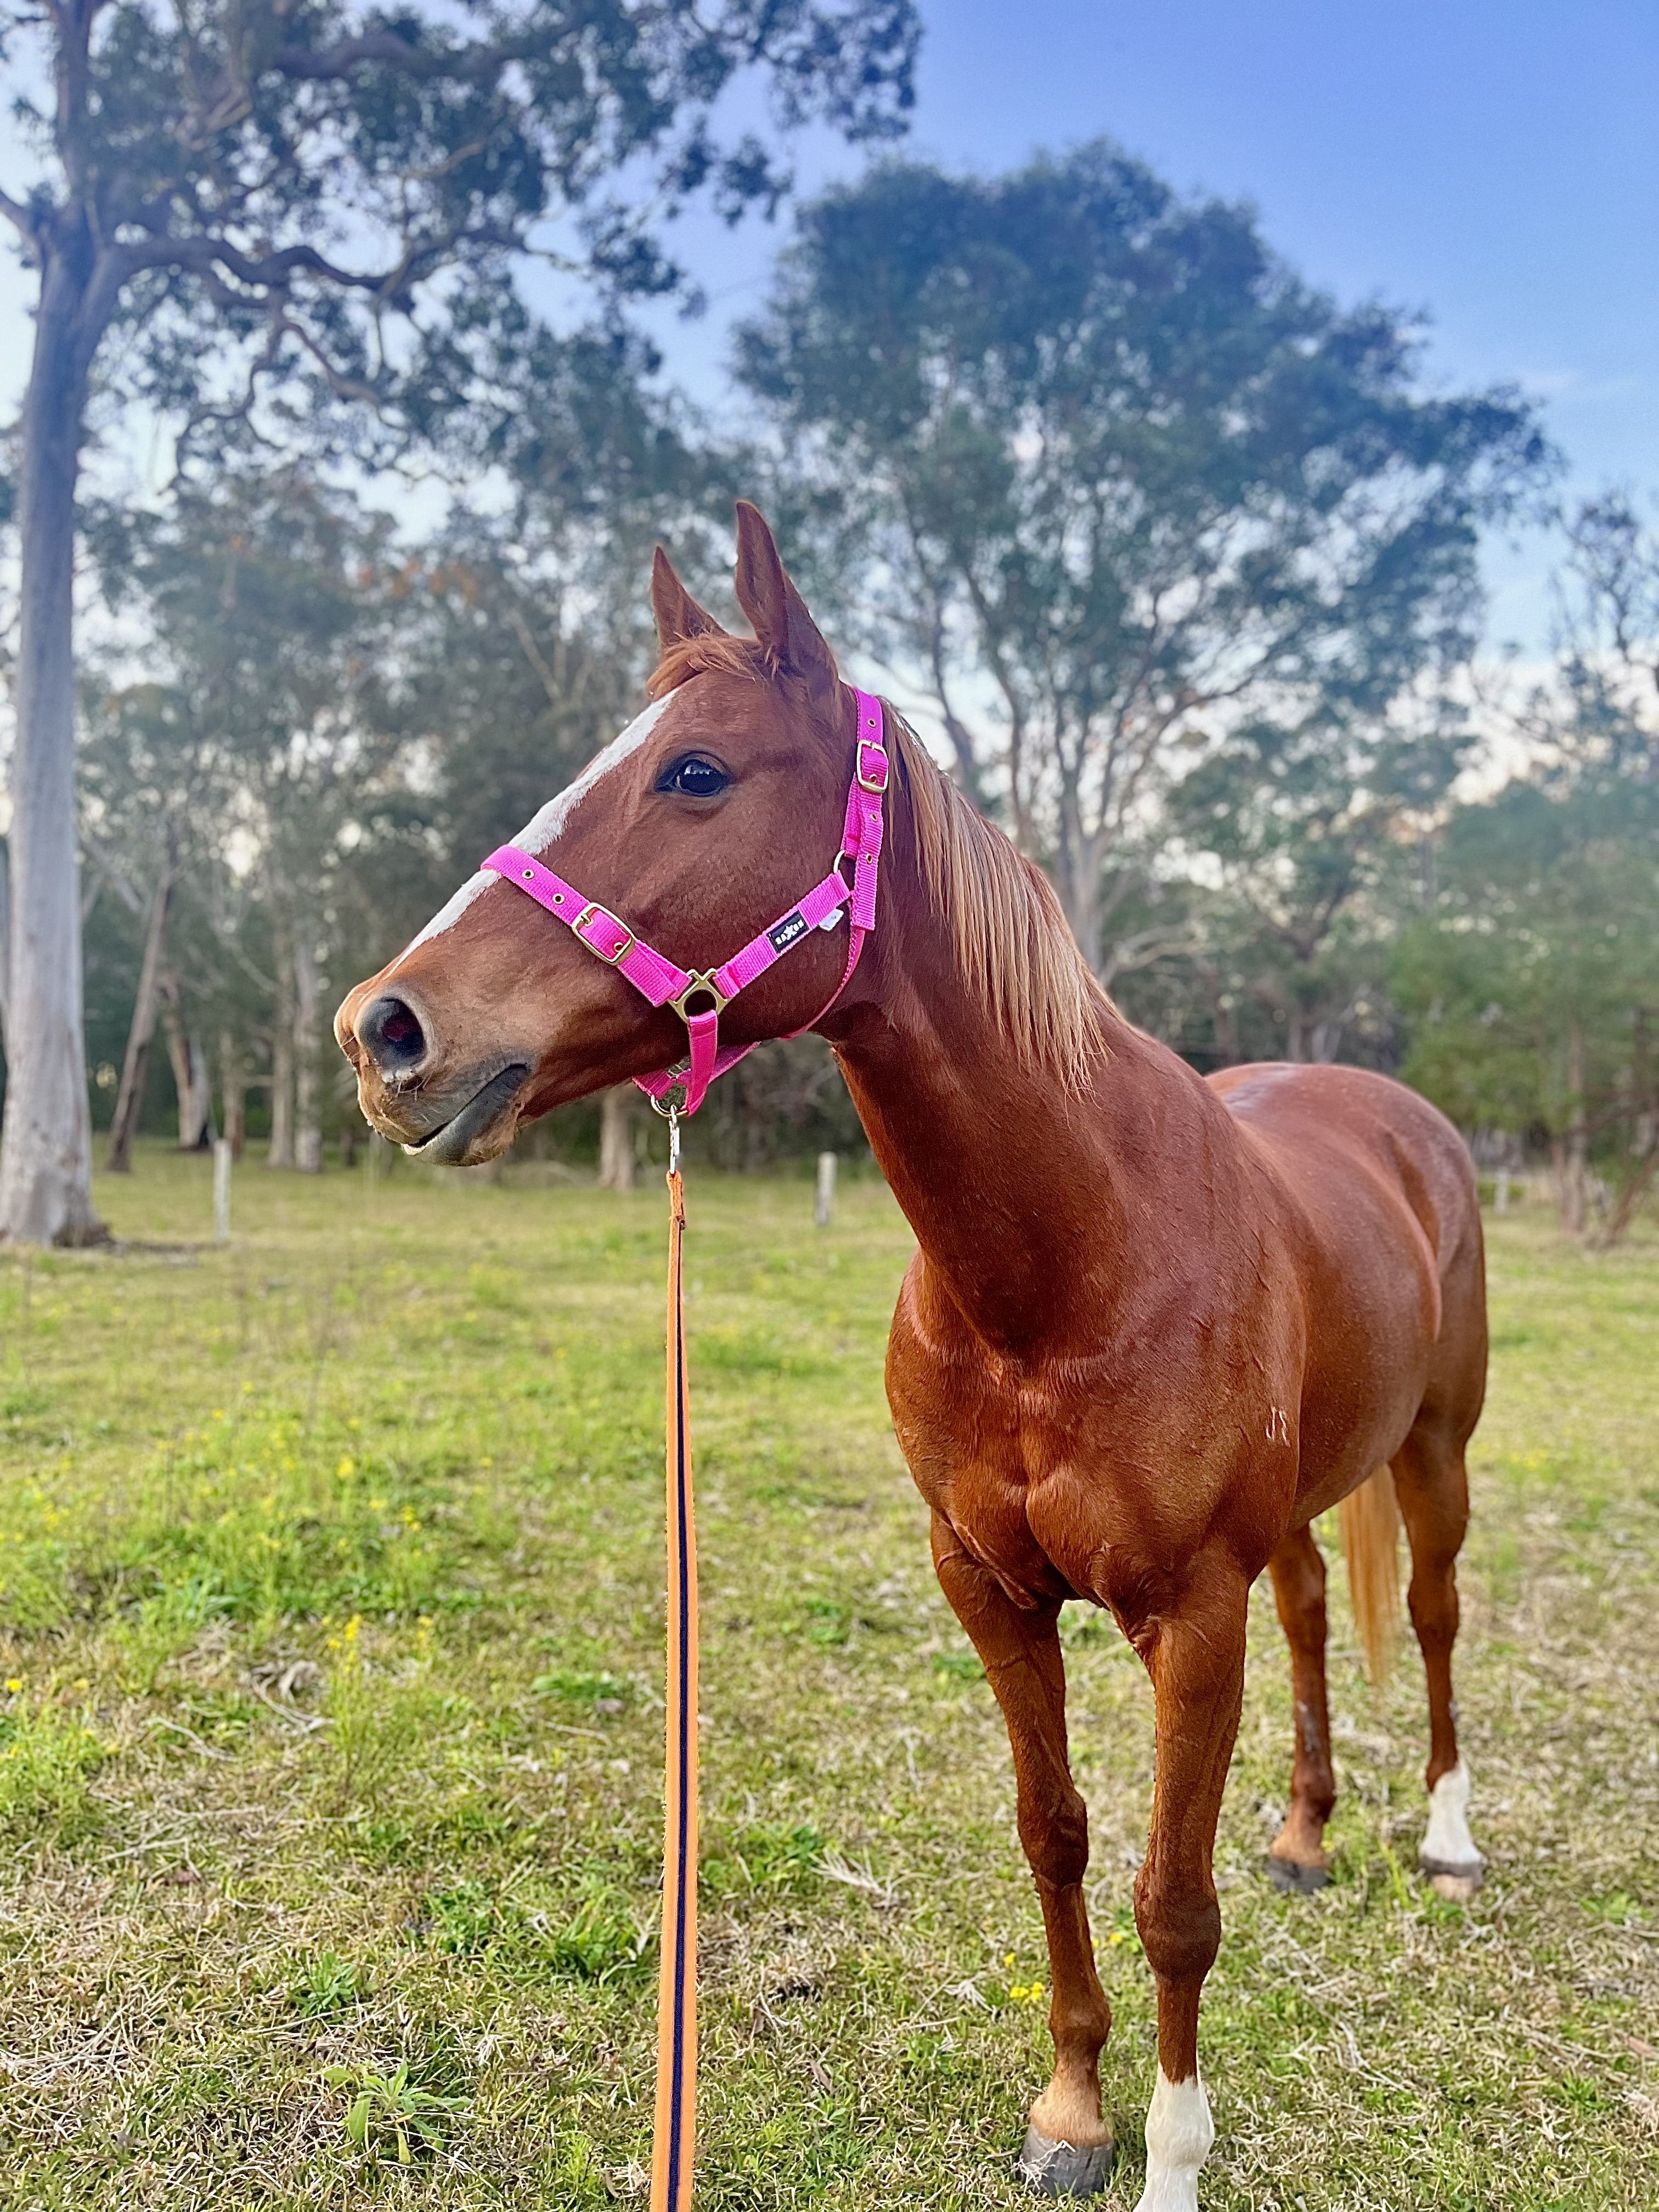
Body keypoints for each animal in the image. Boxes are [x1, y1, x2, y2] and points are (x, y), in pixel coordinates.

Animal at [335, 503, 1488, 2210]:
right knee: (1314, 1619)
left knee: (1430, 1618)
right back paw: (1303, 1834)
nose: (389, 1033)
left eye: (696, 772)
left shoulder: (1188, 1617)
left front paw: (1170, 2157)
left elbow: (1172, 1900)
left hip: (1437, 1451)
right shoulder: (986, 1586)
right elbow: (1055, 1833)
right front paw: (1073, 2111)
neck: (1068, 1269)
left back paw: (1450, 1840)